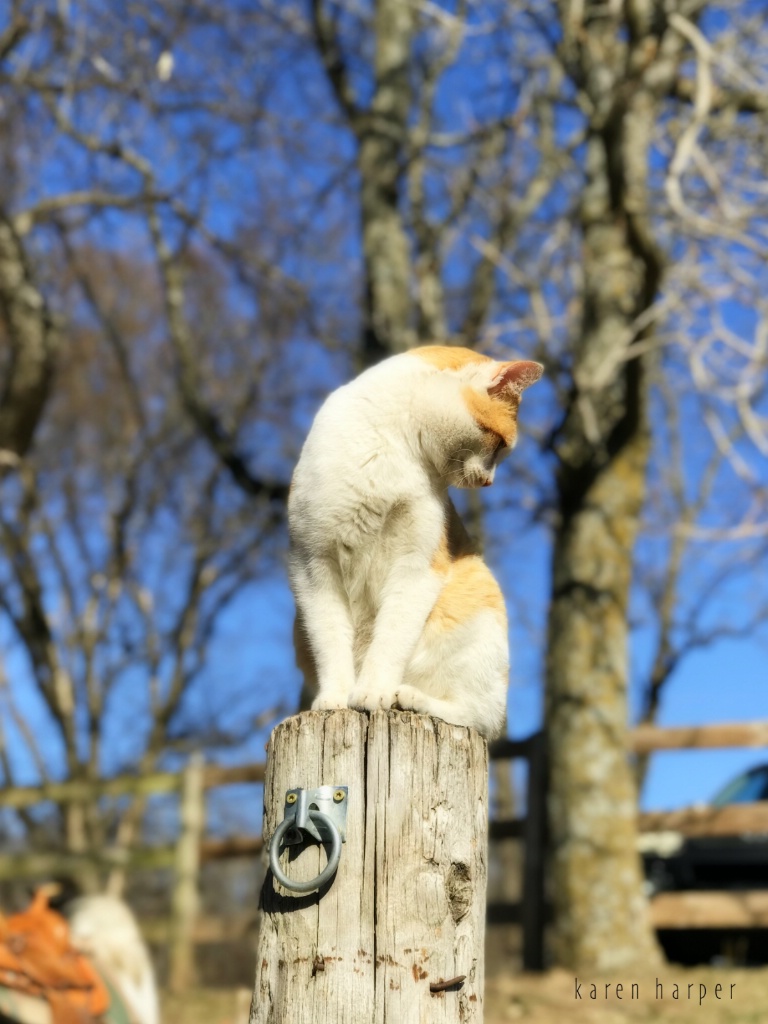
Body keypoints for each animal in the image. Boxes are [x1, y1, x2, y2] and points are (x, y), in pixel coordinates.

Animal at [286, 344, 544, 737]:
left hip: (481, 615)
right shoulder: (313, 566)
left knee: (478, 715)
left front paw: (373, 692)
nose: (489, 482)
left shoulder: (417, 566)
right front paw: (335, 698)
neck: (392, 445)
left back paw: (410, 698)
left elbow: (391, 636)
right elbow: (330, 639)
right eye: (498, 444)